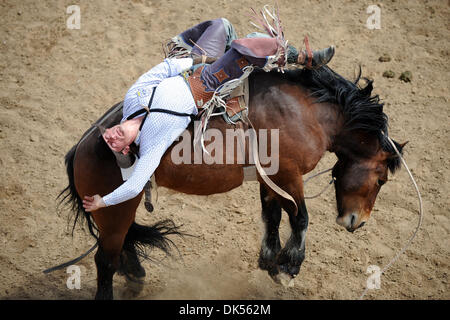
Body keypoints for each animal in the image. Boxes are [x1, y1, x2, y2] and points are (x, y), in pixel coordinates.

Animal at [58, 65, 406, 300]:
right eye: (381, 179)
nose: (357, 222)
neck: (308, 112)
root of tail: (81, 148)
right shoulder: (288, 175)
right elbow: (300, 217)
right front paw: (289, 267)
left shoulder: (271, 178)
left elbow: (272, 216)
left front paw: (271, 261)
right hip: (114, 210)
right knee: (105, 259)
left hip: (120, 209)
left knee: (121, 245)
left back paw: (136, 278)